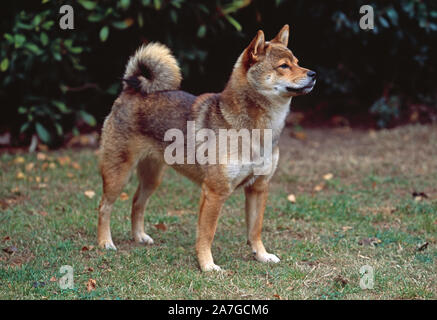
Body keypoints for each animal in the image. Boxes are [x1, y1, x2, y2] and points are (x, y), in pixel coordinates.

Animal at [97, 25, 316, 272]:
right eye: (284, 66)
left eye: (297, 62)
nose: (313, 74)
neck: (255, 129)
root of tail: (130, 90)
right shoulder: (214, 192)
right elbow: (207, 234)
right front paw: (207, 265)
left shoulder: (258, 188)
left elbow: (255, 230)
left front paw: (261, 255)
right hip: (118, 175)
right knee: (104, 206)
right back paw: (105, 242)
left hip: (152, 178)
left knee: (137, 203)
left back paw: (139, 237)